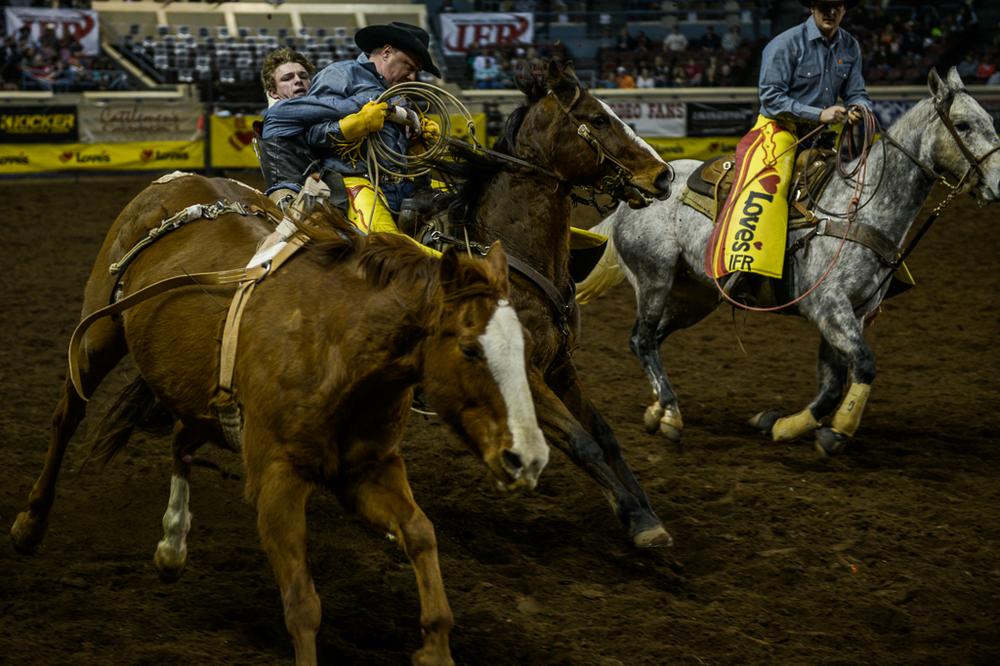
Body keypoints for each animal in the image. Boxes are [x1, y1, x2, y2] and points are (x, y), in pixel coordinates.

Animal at [10, 173, 550, 666]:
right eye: (469, 348)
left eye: (525, 348)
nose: (529, 458)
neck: (341, 346)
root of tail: (173, 183)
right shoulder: (277, 480)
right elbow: (302, 604)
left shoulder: (365, 470)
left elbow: (419, 532)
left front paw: (435, 646)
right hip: (98, 333)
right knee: (67, 417)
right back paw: (30, 524)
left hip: (194, 385)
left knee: (182, 438)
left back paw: (172, 546)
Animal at [429, 59, 676, 547]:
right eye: (598, 119)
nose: (662, 175)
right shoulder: (521, 374)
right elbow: (583, 442)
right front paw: (635, 518)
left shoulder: (561, 365)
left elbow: (604, 435)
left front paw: (644, 508)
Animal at [576, 68, 1000, 456]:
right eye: (963, 124)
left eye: (991, 122)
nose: (997, 185)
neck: (856, 210)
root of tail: (634, 197)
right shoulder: (828, 307)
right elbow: (862, 364)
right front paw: (836, 431)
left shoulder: (853, 312)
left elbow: (832, 383)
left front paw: (782, 424)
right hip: (654, 277)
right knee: (642, 338)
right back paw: (670, 414)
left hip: (694, 296)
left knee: (653, 339)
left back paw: (657, 412)